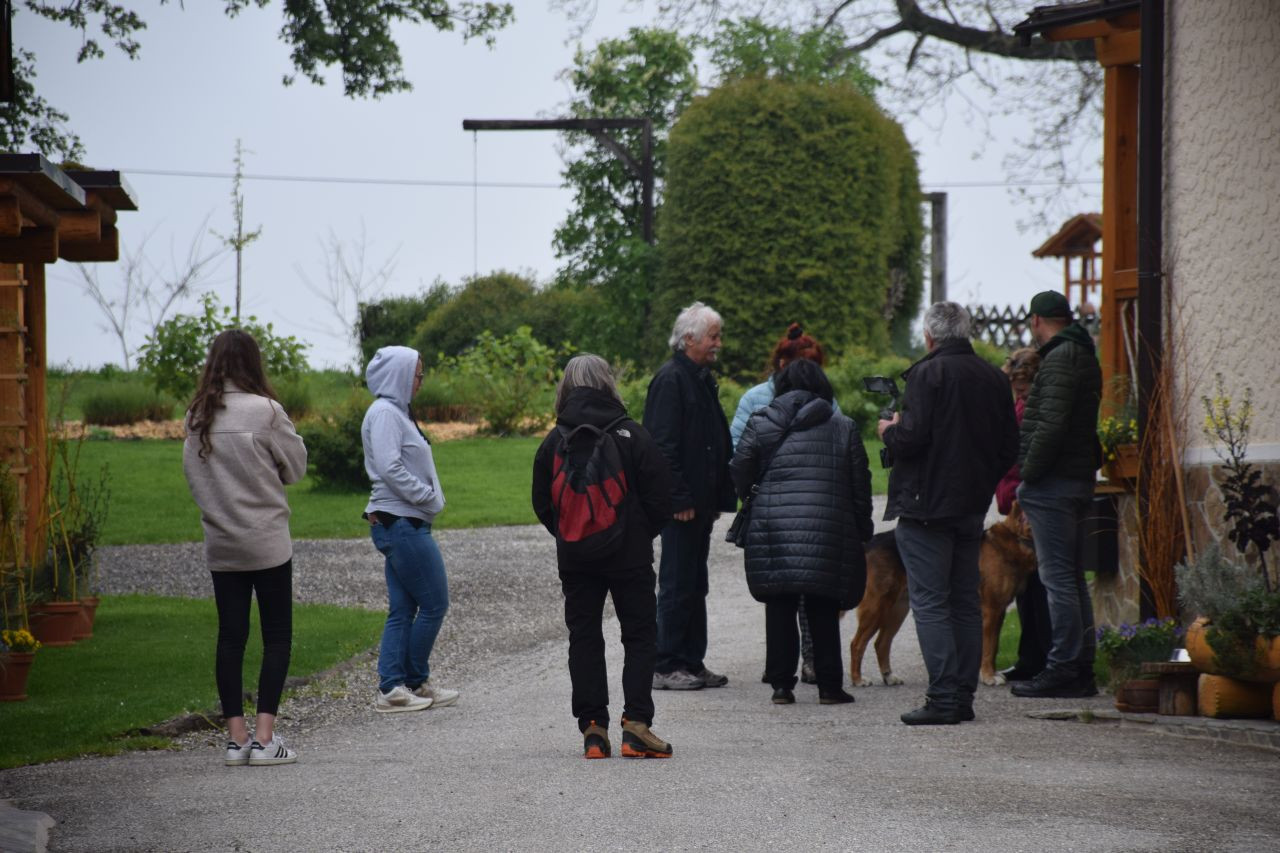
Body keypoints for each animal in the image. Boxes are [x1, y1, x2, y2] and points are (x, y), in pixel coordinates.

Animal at [849, 502, 1039, 686]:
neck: (1015, 540)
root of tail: (870, 544)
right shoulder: (991, 610)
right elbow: (989, 647)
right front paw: (988, 676)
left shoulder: (1000, 611)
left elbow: (994, 647)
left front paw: (991, 673)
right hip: (876, 607)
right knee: (856, 644)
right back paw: (857, 679)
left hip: (898, 609)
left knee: (881, 643)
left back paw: (888, 677)